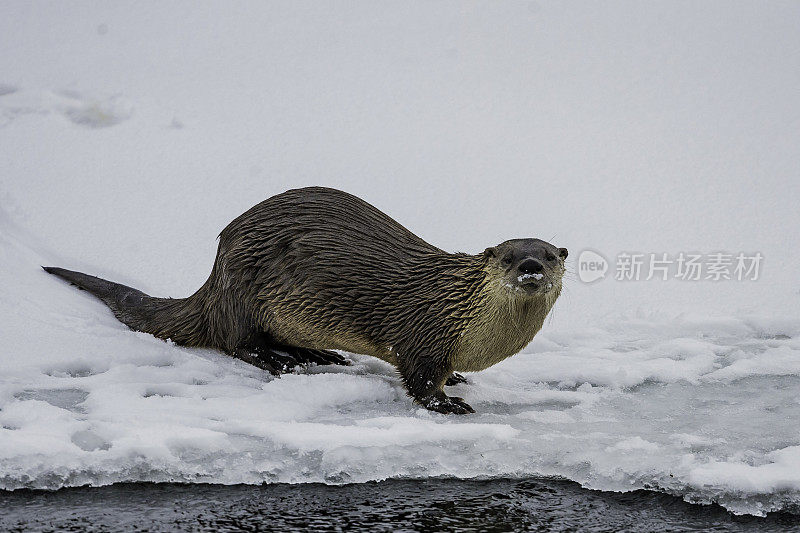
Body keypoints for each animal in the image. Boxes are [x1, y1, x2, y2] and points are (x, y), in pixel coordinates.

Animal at [42, 185, 564, 414]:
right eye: (509, 256)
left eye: (547, 255)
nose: (530, 268)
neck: (462, 316)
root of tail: (213, 277)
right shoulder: (422, 334)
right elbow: (418, 381)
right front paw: (446, 403)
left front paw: (457, 379)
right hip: (245, 294)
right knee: (237, 343)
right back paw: (282, 360)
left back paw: (320, 353)